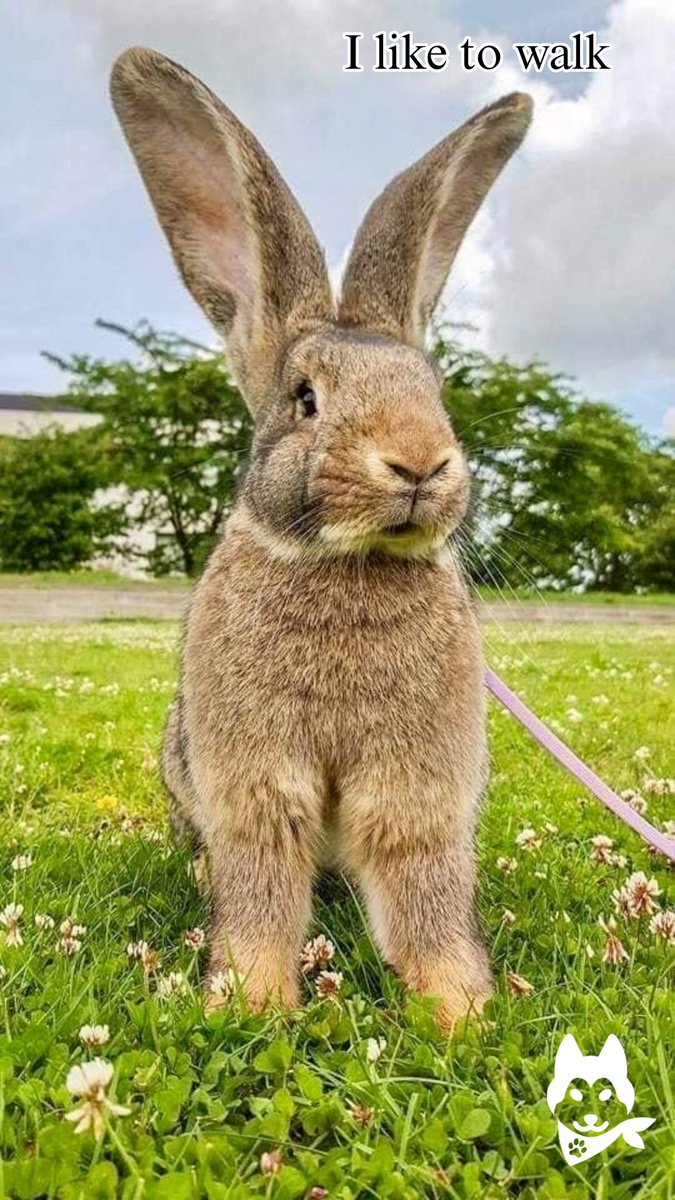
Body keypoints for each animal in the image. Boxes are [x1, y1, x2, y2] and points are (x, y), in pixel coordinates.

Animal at [111, 46, 532, 1030]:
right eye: (305, 399)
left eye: (435, 390)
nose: (418, 461)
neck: (348, 561)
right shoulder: (254, 786)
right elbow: (262, 889)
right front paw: (252, 1002)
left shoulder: (419, 789)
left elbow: (423, 894)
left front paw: (460, 1012)